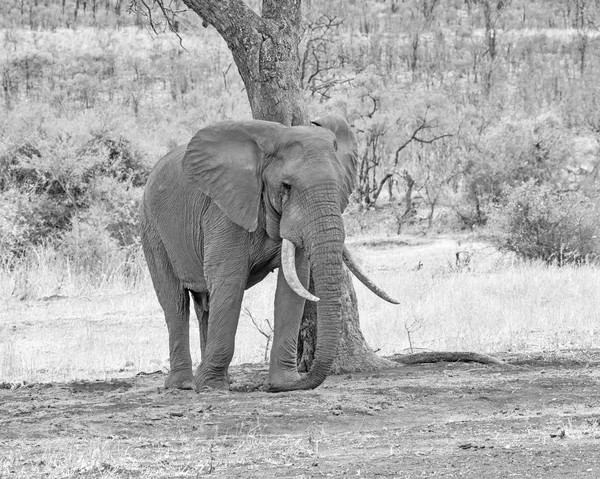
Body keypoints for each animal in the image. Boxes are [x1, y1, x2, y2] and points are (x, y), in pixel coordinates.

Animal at [141, 115, 398, 394]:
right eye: (286, 186)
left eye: (341, 184)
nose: (269, 388)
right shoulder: (226, 211)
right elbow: (229, 282)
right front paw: (211, 388)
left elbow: (293, 285)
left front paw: (283, 383)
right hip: (152, 229)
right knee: (175, 302)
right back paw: (184, 385)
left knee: (204, 304)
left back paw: (215, 380)